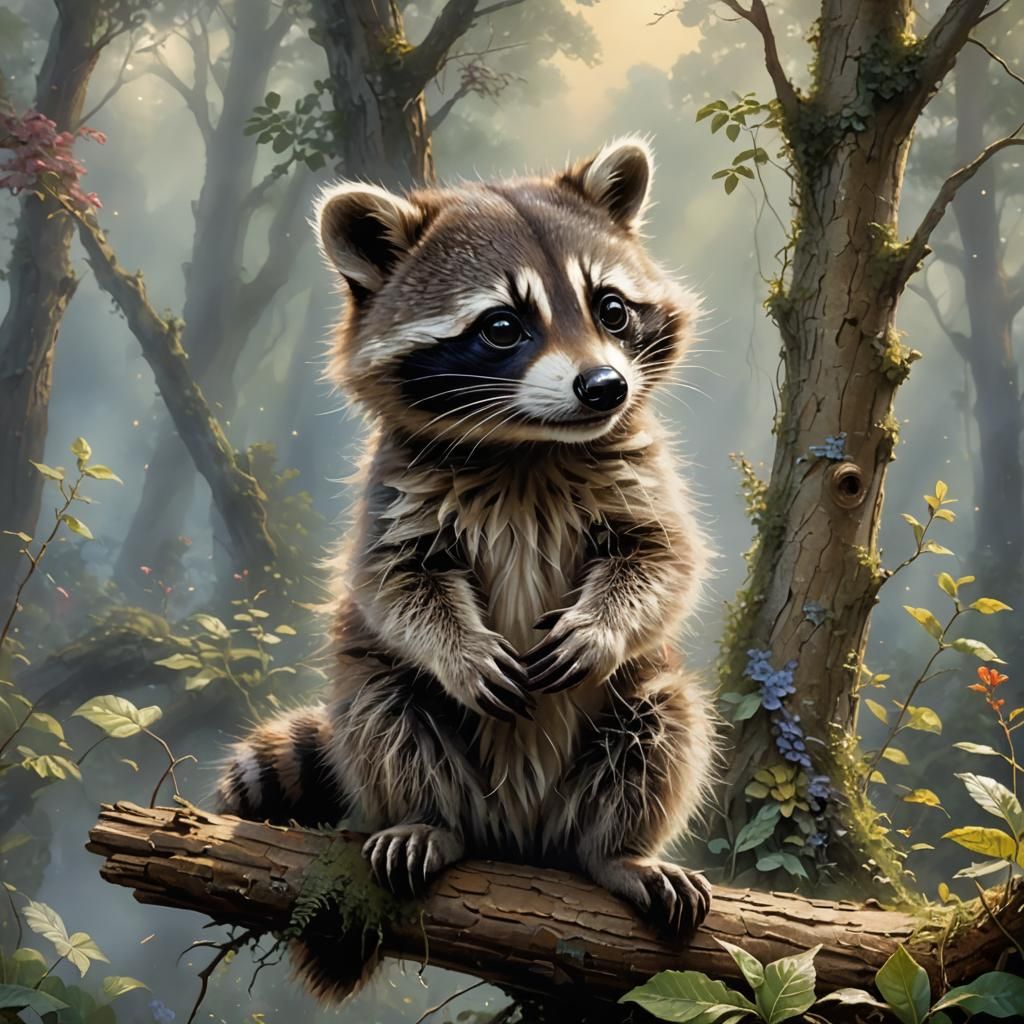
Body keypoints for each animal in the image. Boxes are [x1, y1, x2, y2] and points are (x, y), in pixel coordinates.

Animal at [217, 136, 717, 999]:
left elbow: (662, 559)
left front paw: (600, 626)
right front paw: (457, 647)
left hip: (633, 714)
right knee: (388, 715)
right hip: (386, 708)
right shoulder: (394, 491)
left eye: (612, 309)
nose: (605, 387)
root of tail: (518, 835)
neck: (529, 447)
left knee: (663, 721)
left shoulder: (640, 470)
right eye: (503, 326)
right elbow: (394, 582)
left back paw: (617, 852)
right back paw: (430, 821)